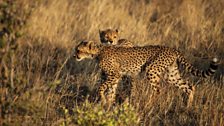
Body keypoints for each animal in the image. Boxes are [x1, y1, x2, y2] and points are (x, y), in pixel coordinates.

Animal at [74, 40, 218, 107]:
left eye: (79, 50)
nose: (74, 55)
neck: (98, 52)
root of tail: (172, 48)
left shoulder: (114, 75)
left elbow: (101, 87)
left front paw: (104, 100)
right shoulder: (112, 77)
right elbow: (110, 90)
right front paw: (108, 104)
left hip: (152, 70)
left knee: (158, 91)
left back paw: (150, 104)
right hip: (171, 74)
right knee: (189, 86)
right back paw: (188, 106)